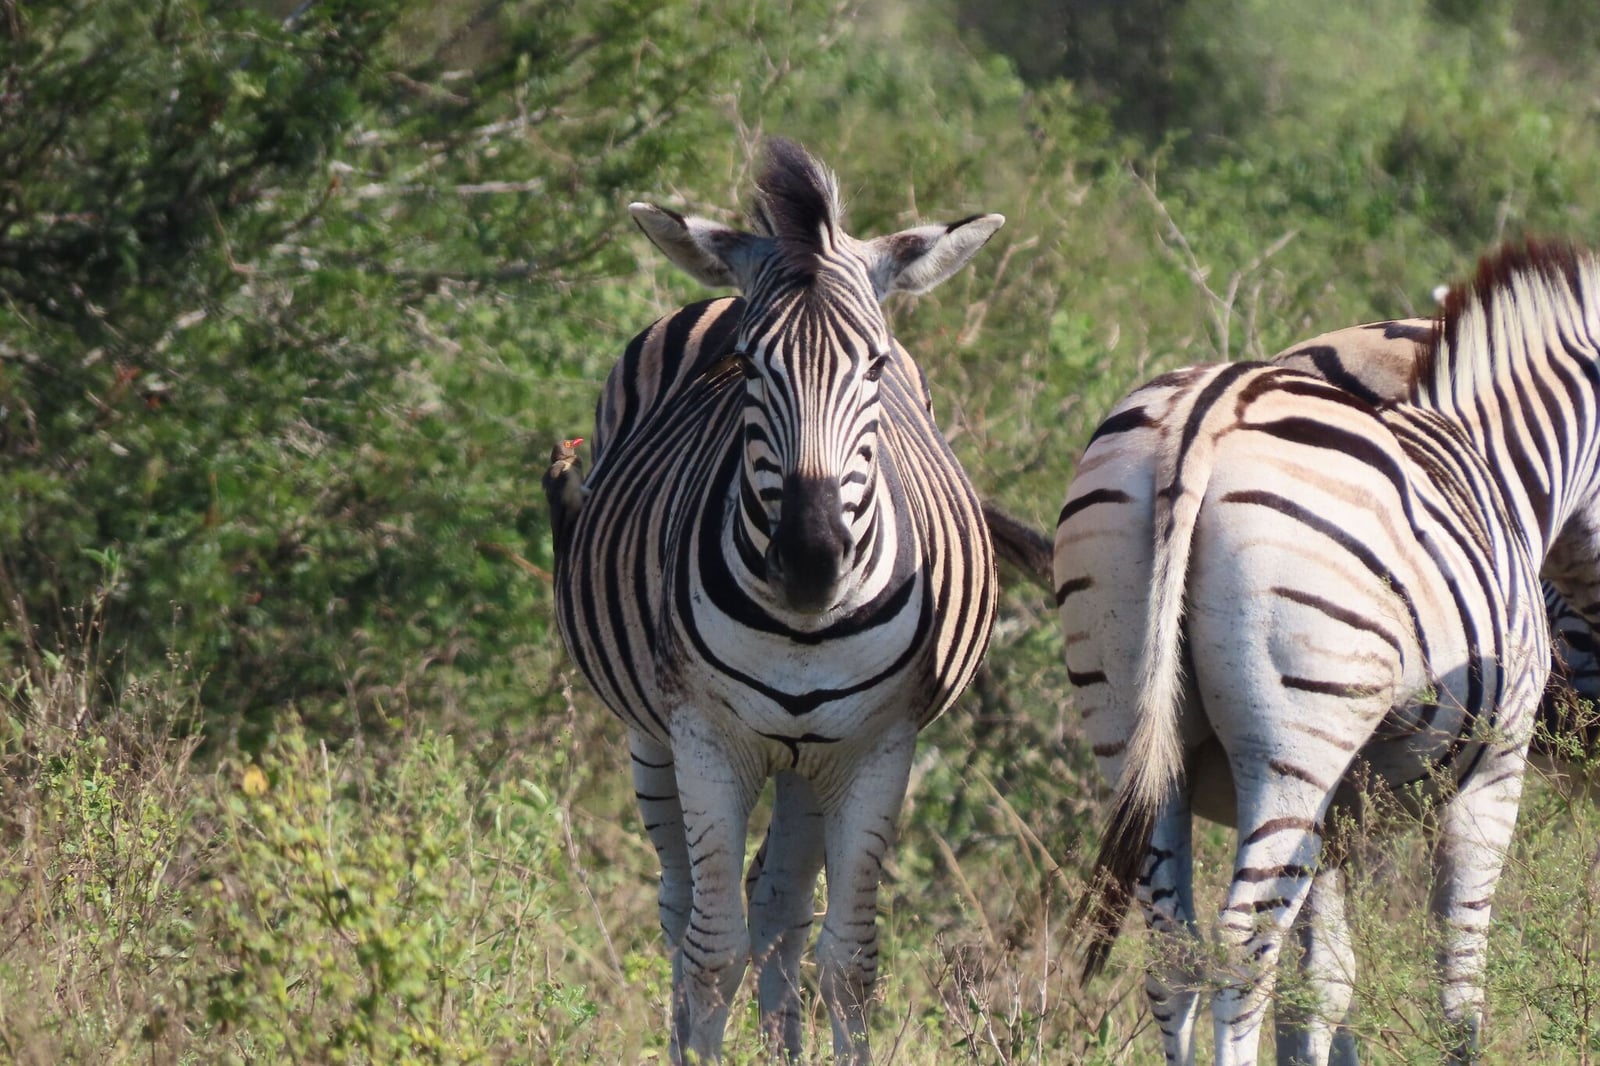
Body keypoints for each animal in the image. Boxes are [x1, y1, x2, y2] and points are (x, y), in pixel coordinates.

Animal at [552, 138, 1002, 1064]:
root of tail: (715, 288)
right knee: (683, 910)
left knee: (783, 912)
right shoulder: (704, 736)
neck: (803, 628)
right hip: (652, 736)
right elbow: (711, 952)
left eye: (874, 366)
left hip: (808, 762)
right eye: (750, 364)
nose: (810, 561)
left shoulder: (879, 748)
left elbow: (850, 961)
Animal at [1055, 241, 1600, 1065]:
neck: (1501, 469)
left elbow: (1323, 988)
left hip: (1127, 721)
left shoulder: (1343, 817)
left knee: (1174, 955)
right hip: (1294, 743)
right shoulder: (1494, 771)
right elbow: (1459, 988)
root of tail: (1200, 418)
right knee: (1241, 950)